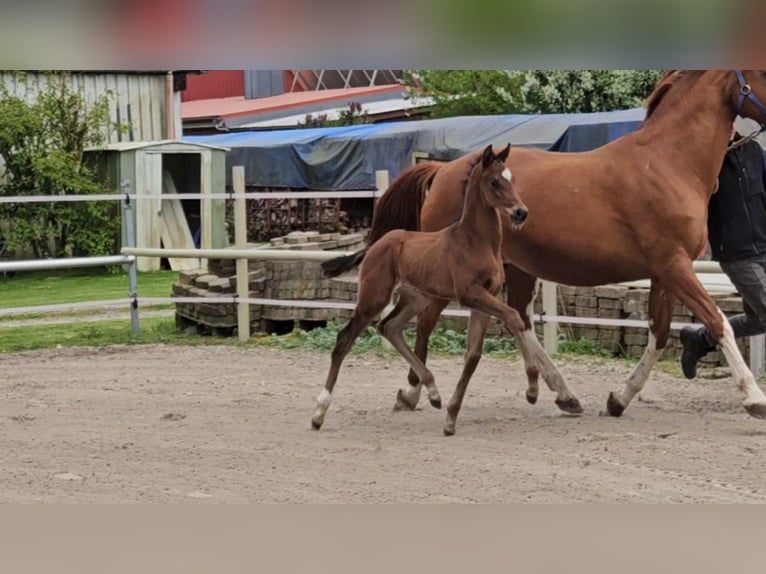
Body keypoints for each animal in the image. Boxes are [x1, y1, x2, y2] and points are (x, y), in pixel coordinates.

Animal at [312, 145, 536, 436]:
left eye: (512, 179)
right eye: (494, 182)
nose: (521, 212)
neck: (476, 241)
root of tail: (375, 243)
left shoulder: (488, 295)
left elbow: (474, 354)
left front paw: (451, 418)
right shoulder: (470, 294)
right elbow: (513, 317)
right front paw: (532, 389)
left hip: (417, 298)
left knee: (389, 327)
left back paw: (433, 392)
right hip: (374, 298)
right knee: (344, 340)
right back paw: (319, 413)